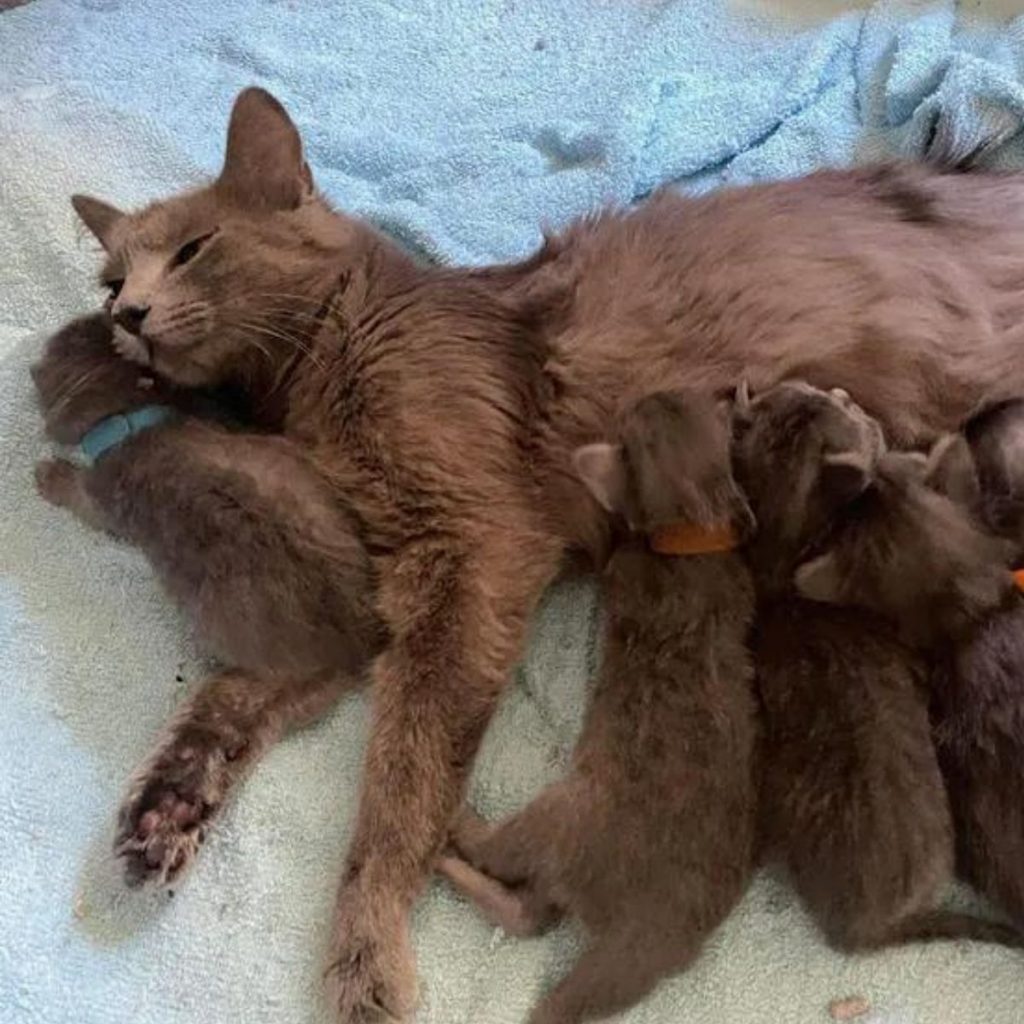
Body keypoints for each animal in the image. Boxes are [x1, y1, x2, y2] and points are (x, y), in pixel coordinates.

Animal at [440, 389, 761, 1024]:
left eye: (641, 424)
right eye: (678, 398)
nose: (644, 395)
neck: (697, 537)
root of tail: (655, 931)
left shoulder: (627, 572)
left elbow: (619, 550)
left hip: (562, 814)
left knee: (506, 861)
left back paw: (455, 828)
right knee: (531, 915)